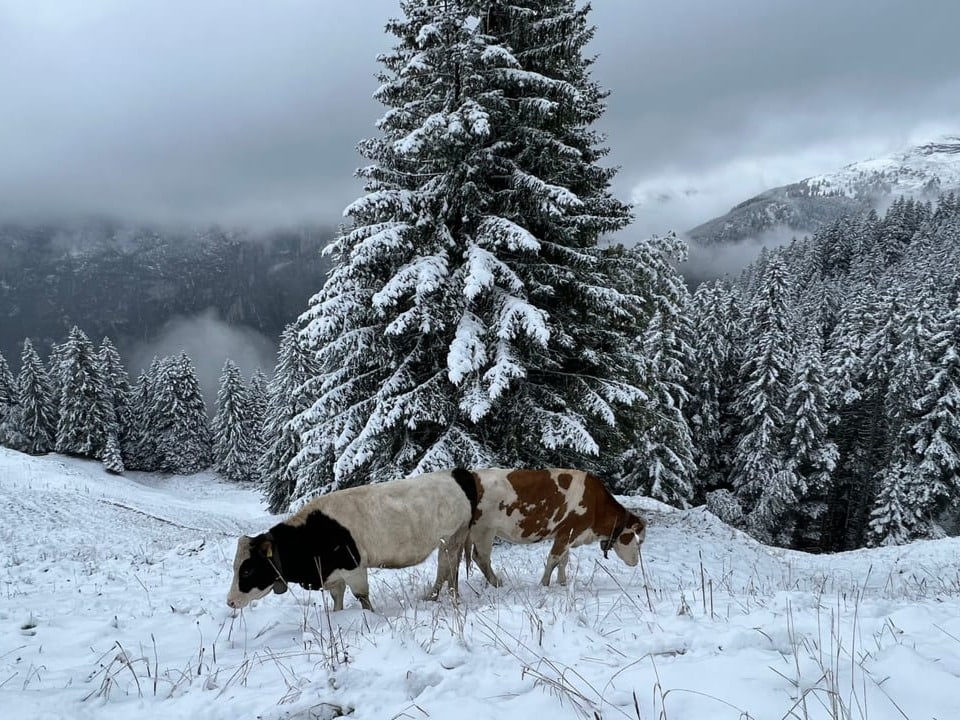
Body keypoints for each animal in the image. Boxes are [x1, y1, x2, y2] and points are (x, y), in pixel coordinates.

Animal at [226, 466, 480, 612]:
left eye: (247, 570)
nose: (230, 601)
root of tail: (455, 473)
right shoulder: (333, 575)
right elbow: (337, 601)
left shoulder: (354, 568)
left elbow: (362, 598)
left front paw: (370, 616)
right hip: (449, 540)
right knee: (447, 567)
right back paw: (437, 597)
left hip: (453, 536)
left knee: (448, 567)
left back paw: (442, 597)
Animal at [464, 466, 648, 592]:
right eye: (639, 541)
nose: (635, 563)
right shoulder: (568, 532)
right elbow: (553, 559)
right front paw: (544, 584)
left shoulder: (566, 535)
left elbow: (563, 561)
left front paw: (562, 583)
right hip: (485, 529)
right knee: (481, 557)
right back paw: (497, 583)